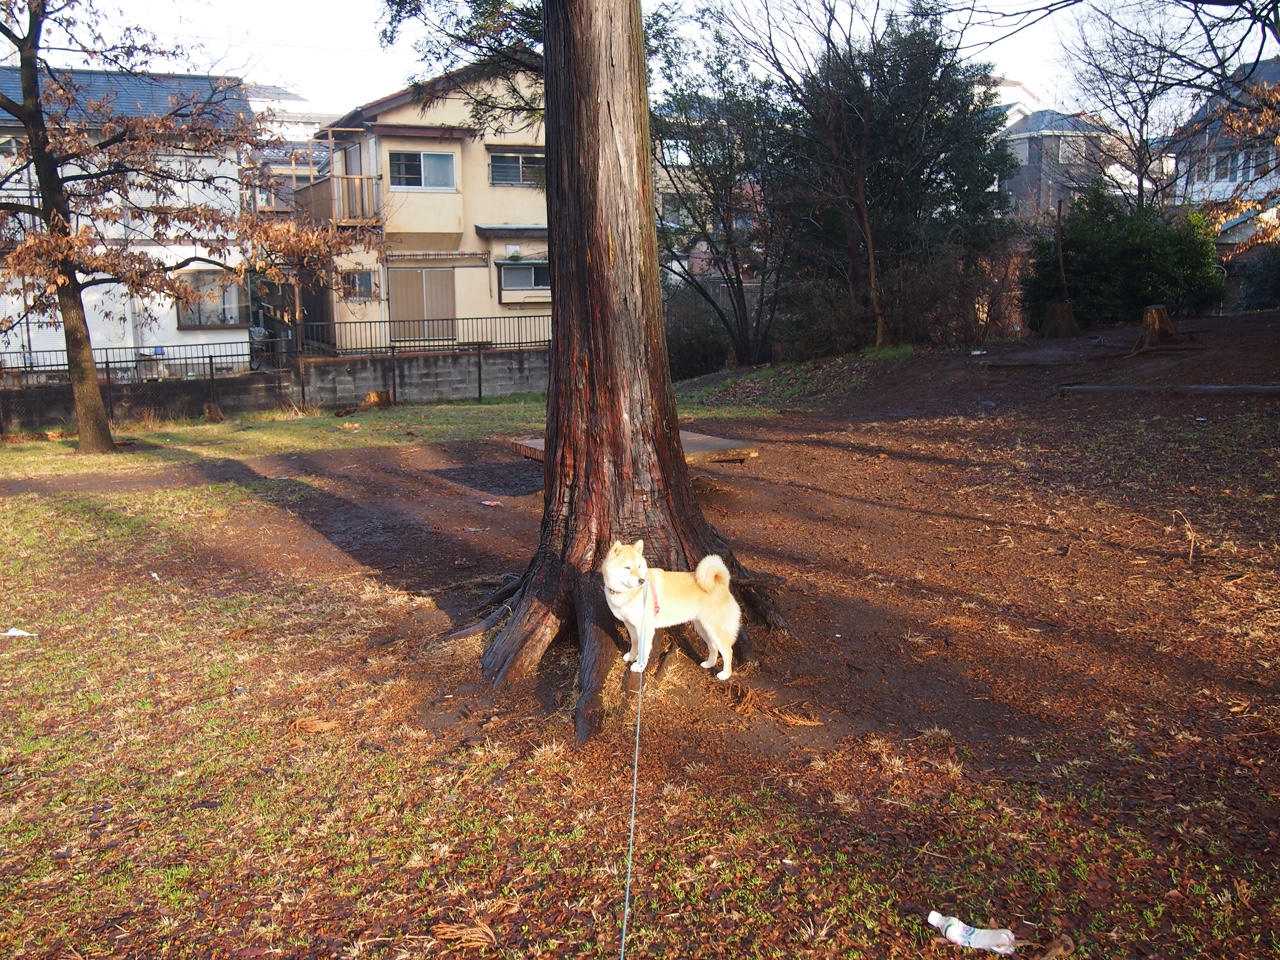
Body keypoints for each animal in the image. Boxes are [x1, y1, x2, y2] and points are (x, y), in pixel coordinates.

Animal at [599, 537, 742, 680]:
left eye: (639, 566)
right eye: (627, 567)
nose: (641, 581)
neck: (628, 593)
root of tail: (721, 583)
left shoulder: (644, 627)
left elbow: (643, 649)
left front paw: (639, 666)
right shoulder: (630, 624)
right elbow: (635, 643)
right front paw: (632, 656)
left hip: (716, 629)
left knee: (728, 651)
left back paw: (725, 674)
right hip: (703, 628)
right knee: (713, 647)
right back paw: (709, 663)